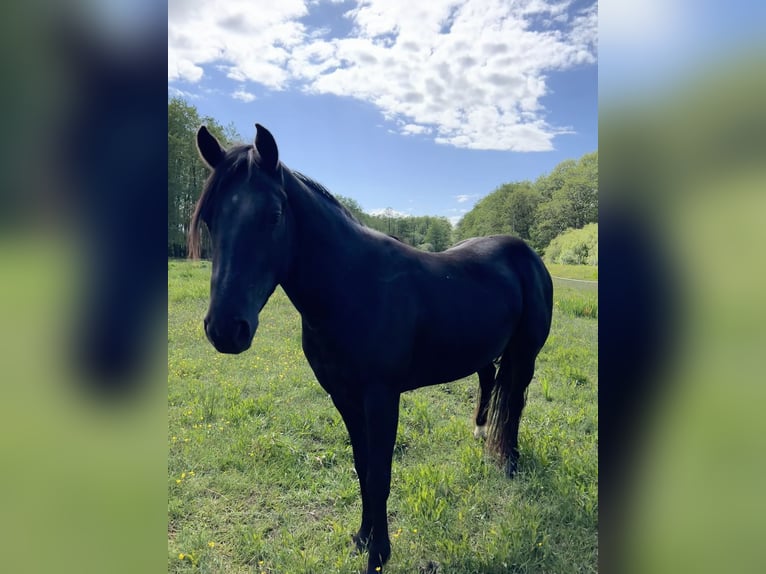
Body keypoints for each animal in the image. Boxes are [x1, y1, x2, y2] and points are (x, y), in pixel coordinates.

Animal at [190, 124, 552, 572]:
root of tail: (527, 254)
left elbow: (380, 473)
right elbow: (362, 466)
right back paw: (482, 435)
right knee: (489, 382)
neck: (353, 287)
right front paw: (362, 539)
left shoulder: (381, 397)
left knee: (514, 403)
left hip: (526, 355)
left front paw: (378, 555)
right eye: (209, 219)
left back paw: (509, 465)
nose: (226, 329)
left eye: (273, 215)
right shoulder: (343, 395)